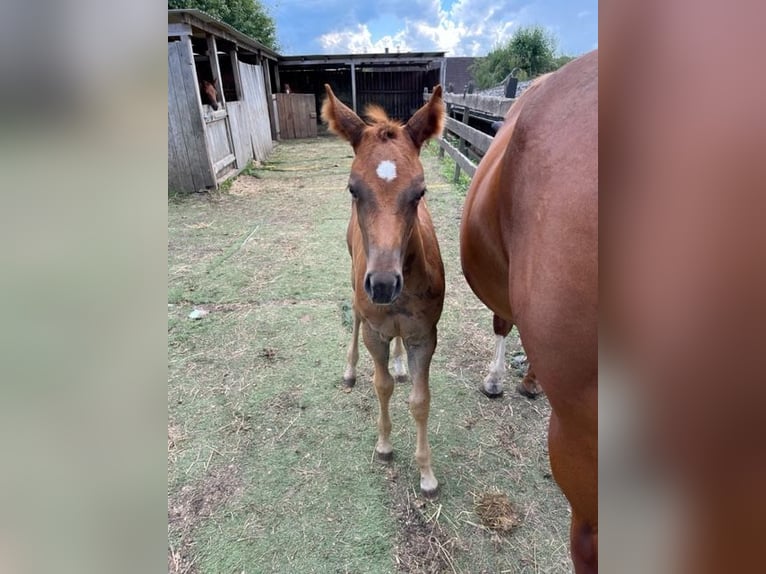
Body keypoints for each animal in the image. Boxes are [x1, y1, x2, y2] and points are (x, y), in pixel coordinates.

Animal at [320, 83, 448, 498]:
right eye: (353, 189)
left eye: (420, 191)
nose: (382, 285)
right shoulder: (376, 332)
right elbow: (382, 386)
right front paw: (385, 446)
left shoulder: (425, 335)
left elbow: (420, 400)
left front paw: (426, 474)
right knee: (356, 318)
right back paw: (349, 369)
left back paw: (400, 362)